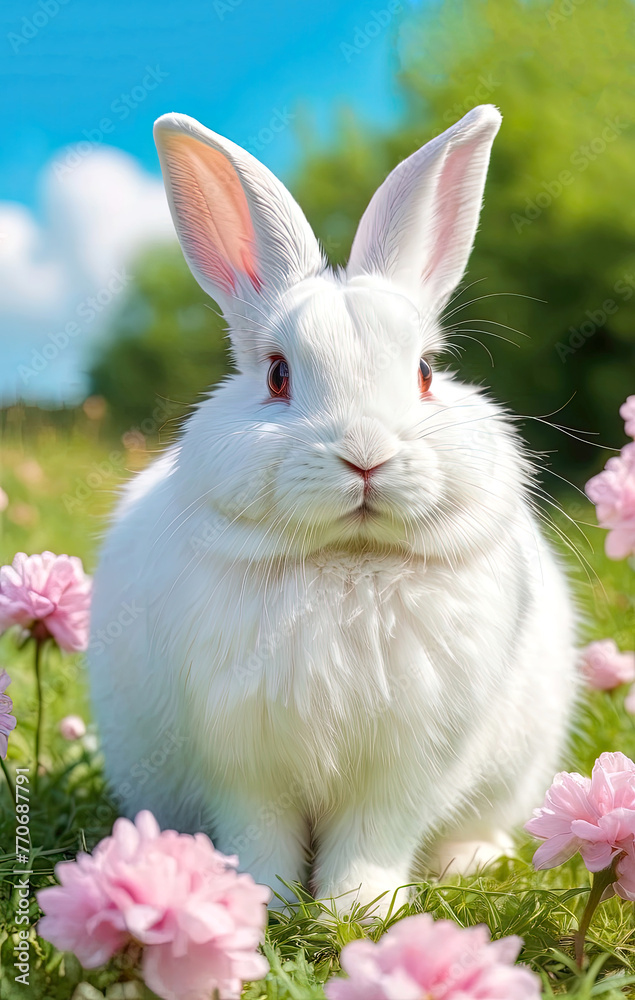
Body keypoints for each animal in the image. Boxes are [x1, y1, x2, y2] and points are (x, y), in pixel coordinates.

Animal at [89, 104, 578, 913]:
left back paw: (470, 859)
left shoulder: (409, 761)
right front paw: (264, 899)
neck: (348, 562)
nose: (365, 455)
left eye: (424, 372)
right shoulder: (241, 759)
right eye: (278, 375)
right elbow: (259, 830)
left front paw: (360, 911)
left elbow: (375, 837)